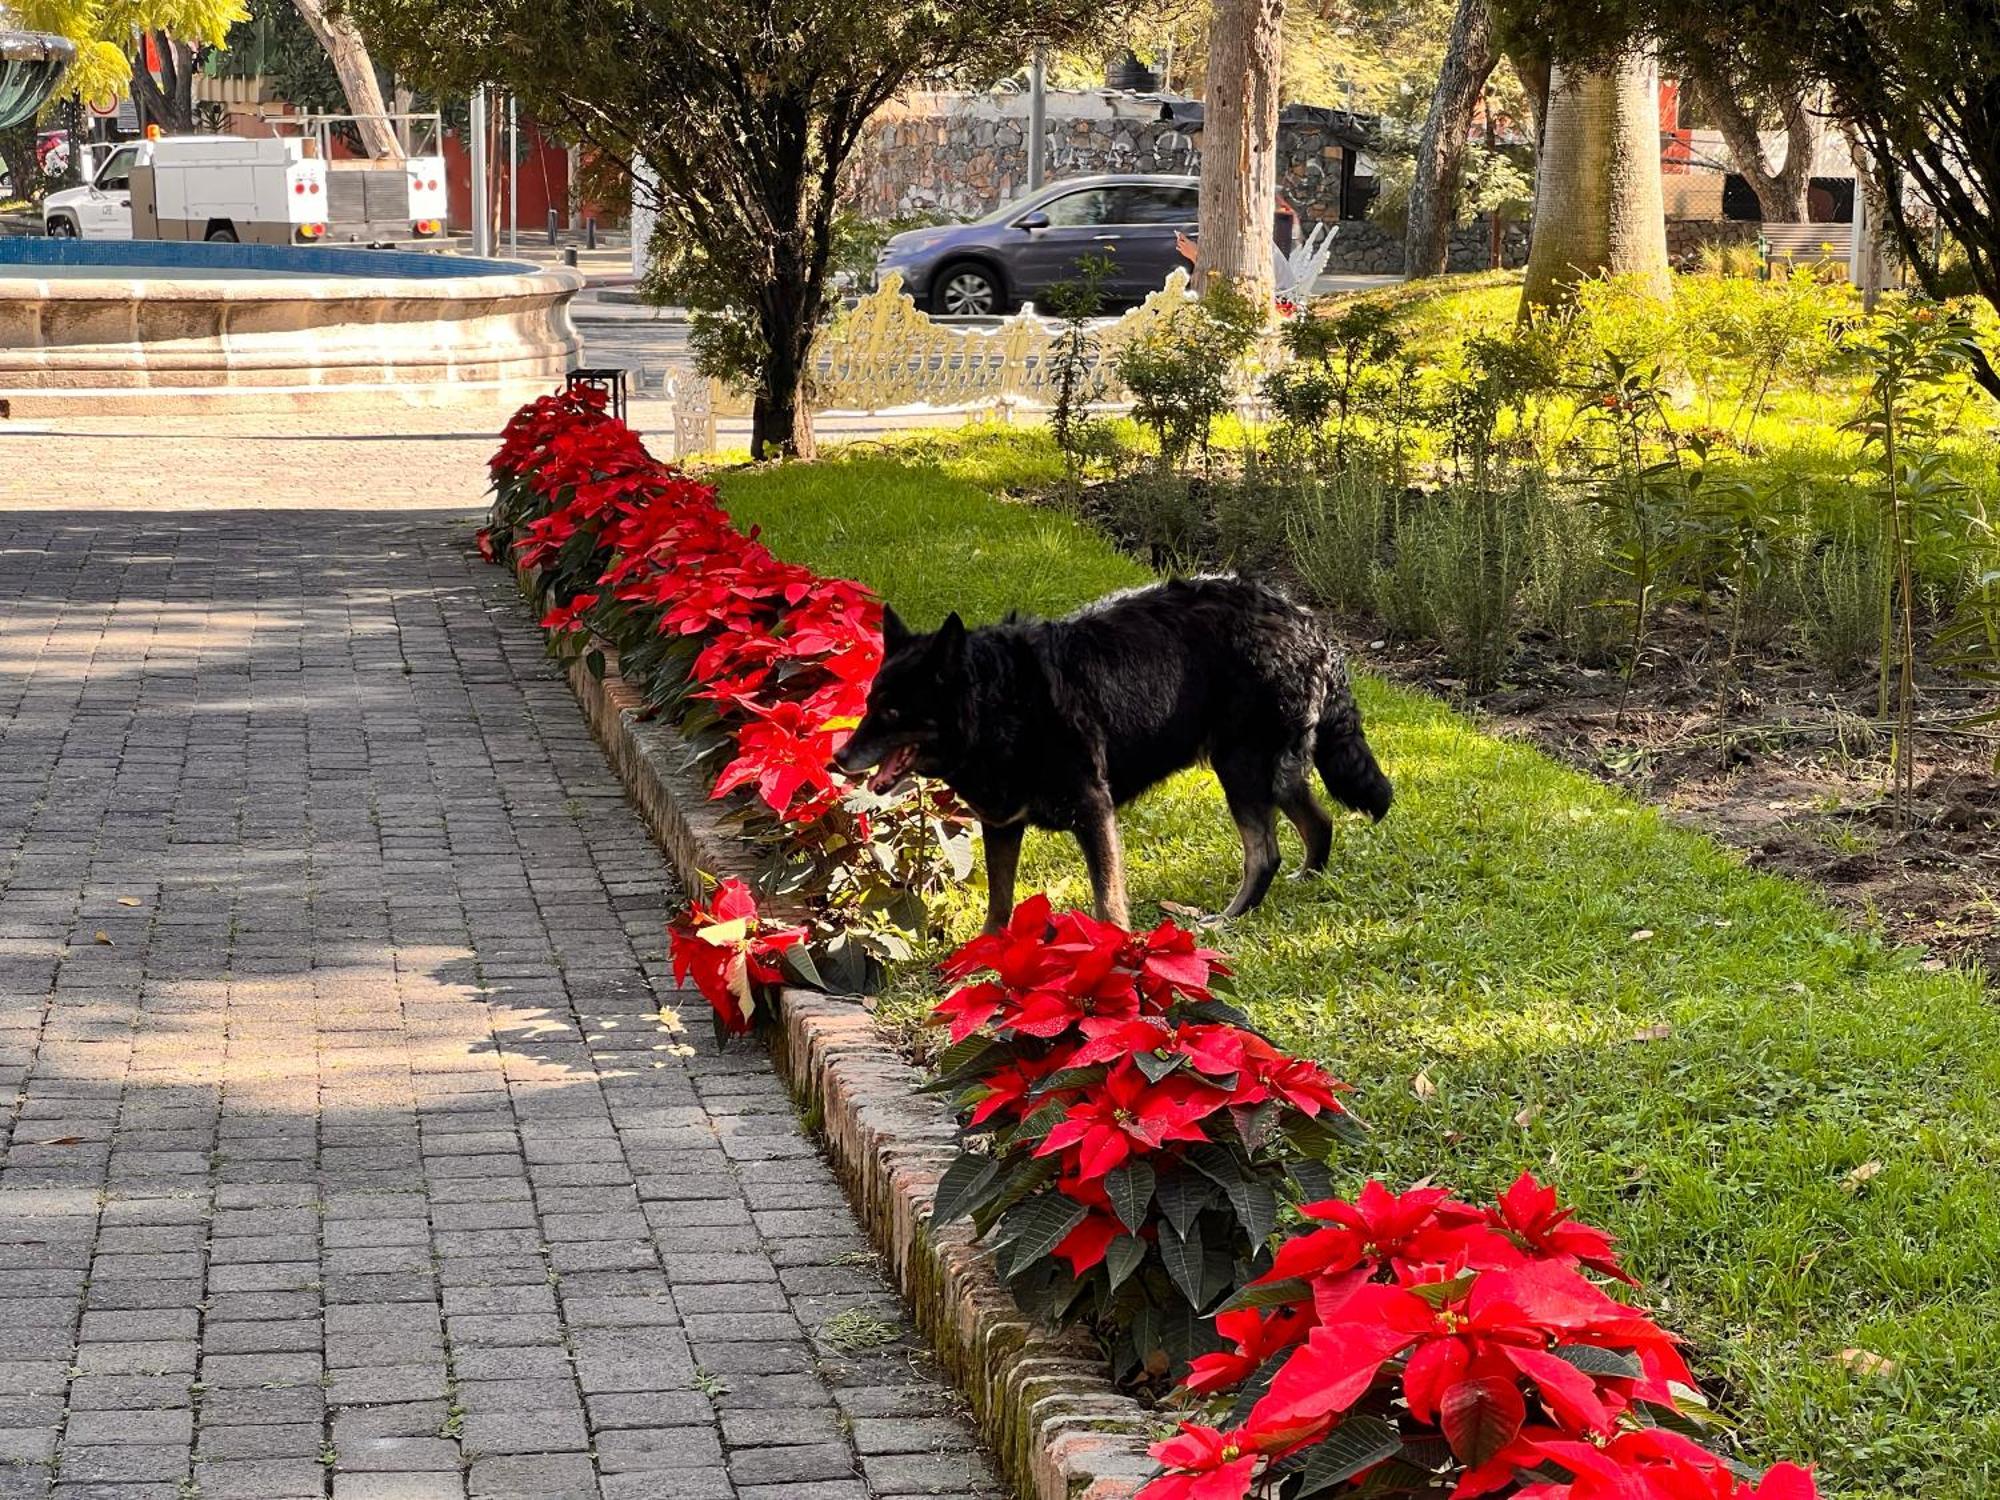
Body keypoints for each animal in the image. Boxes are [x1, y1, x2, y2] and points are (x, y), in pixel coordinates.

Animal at [828, 580, 1392, 936]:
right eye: (869, 704)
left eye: (893, 711)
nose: (838, 758)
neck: (1001, 702)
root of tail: (1308, 624)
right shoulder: (1002, 824)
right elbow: (1000, 900)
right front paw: (986, 953)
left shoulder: (1093, 812)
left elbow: (1108, 899)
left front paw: (1115, 955)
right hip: (1272, 766)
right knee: (1318, 821)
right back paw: (1307, 881)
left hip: (1242, 766)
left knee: (1264, 854)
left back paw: (1229, 917)